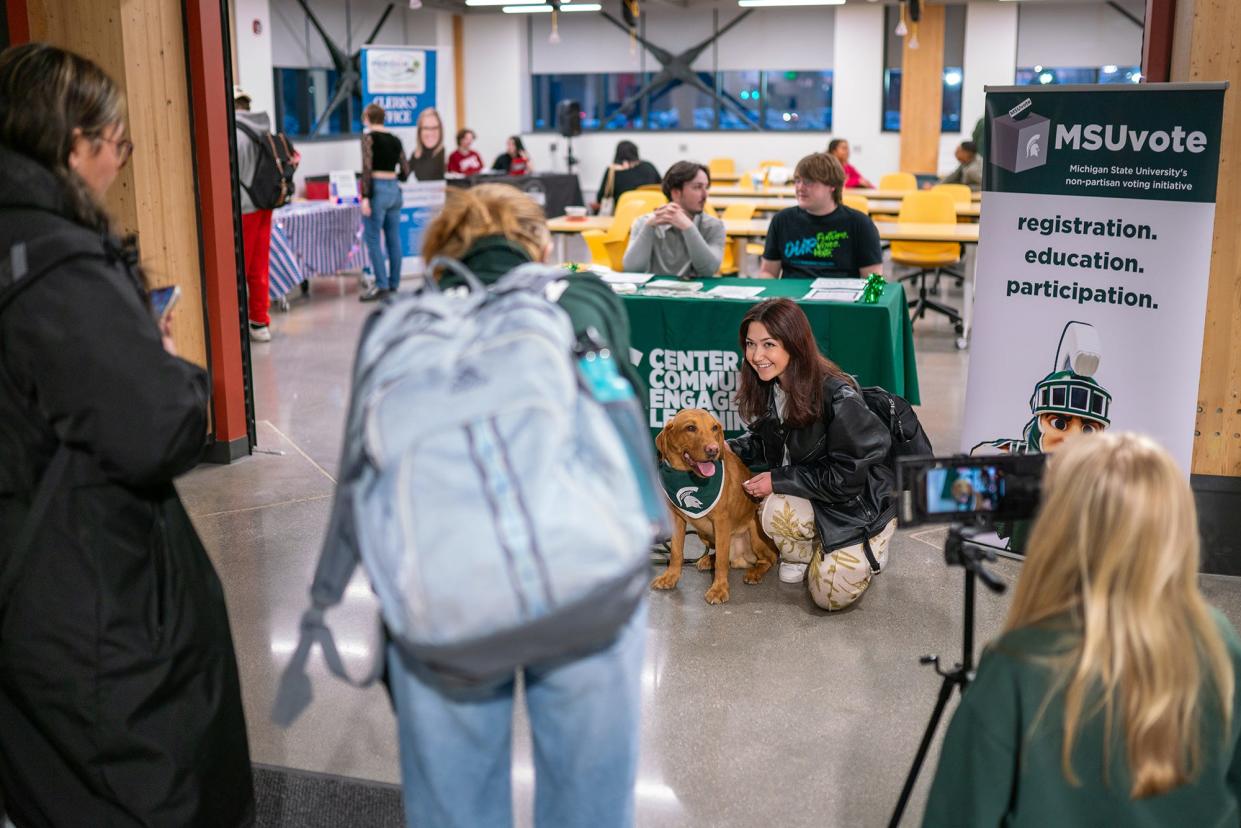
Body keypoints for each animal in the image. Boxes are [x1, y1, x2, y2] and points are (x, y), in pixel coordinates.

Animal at [650, 407, 774, 603]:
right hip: (703, 533)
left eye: (714, 428)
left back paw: (754, 573)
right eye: (690, 428)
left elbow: (722, 562)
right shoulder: (676, 519)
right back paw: (708, 560)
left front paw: (719, 589)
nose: (713, 450)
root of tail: (739, 558)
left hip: (755, 530)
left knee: (768, 559)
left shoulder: (721, 521)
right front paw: (670, 577)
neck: (689, 475)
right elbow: (676, 552)